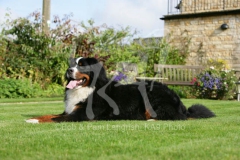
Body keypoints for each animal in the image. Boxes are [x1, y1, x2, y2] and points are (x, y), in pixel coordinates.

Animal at [26, 57, 216, 123]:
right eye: (72, 64)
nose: (68, 70)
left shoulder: (81, 115)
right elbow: (49, 115)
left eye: (82, 65)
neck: (89, 88)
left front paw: (34, 121)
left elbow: (55, 119)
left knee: (174, 117)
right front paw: (33, 118)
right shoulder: (70, 110)